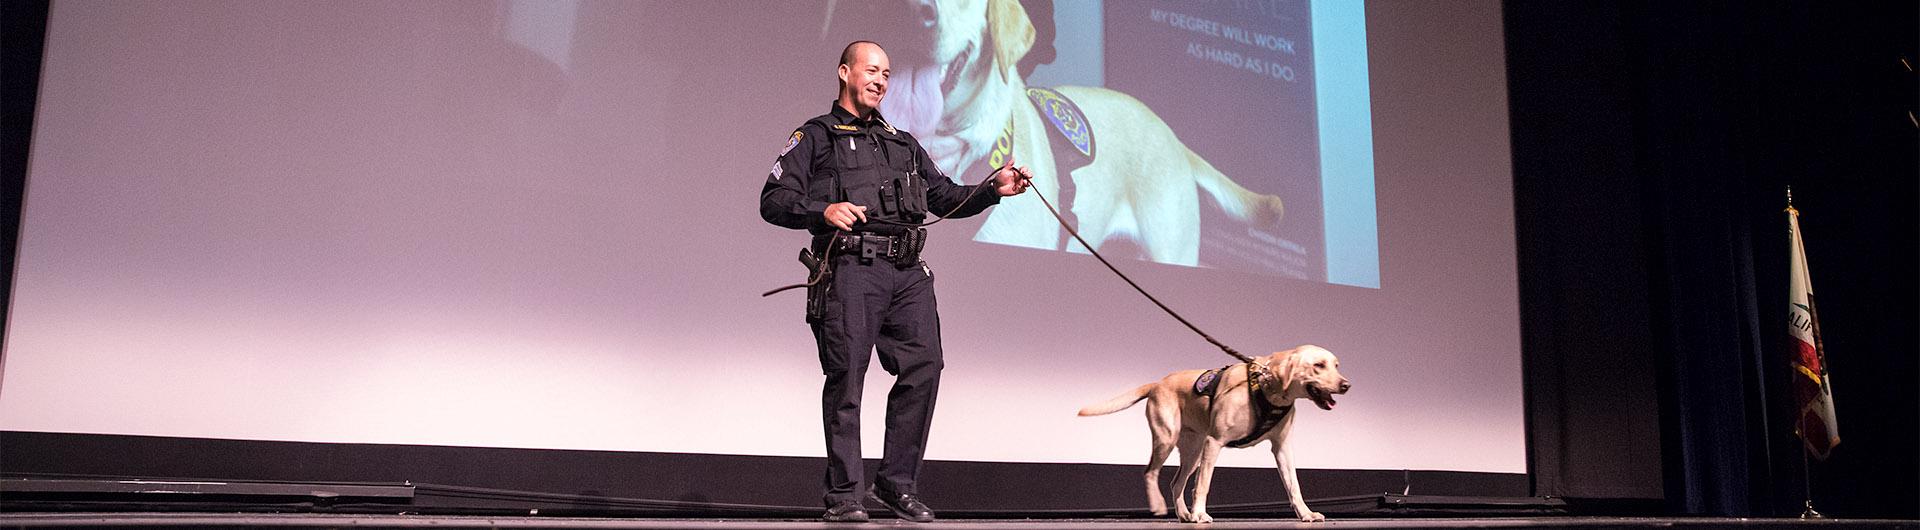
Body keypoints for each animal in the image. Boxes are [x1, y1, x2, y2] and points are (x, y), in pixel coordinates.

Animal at [1082, 345, 1351, 522]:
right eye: (1318, 365)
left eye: (1336, 366)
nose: (1346, 385)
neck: (1268, 387)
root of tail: (1158, 383)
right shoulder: (1215, 442)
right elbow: (1203, 484)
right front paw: (1201, 513)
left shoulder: (1282, 448)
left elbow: (1294, 485)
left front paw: (1305, 513)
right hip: (1167, 440)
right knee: (1151, 472)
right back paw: (1164, 507)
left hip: (1193, 452)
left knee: (1176, 482)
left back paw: (1184, 514)